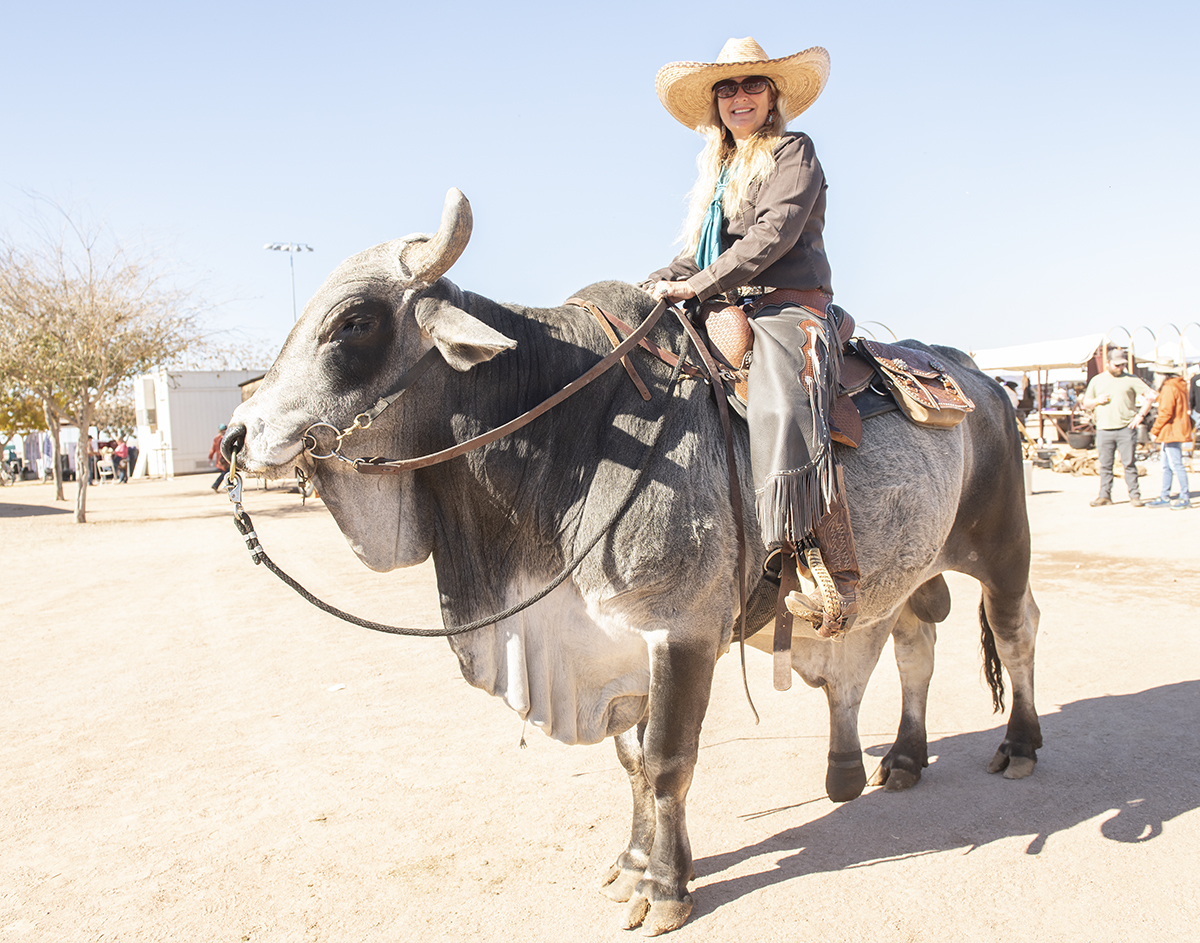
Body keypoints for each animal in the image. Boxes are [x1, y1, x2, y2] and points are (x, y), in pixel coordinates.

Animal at [223, 187, 1041, 931]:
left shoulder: (681, 634)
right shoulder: (612, 640)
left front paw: (666, 888)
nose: (236, 436)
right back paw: (902, 757)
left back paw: (1020, 745)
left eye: (354, 321)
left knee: (1014, 631)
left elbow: (669, 759)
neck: (575, 435)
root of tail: (978, 378)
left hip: (1002, 545)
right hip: (904, 573)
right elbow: (633, 762)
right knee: (915, 642)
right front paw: (632, 862)